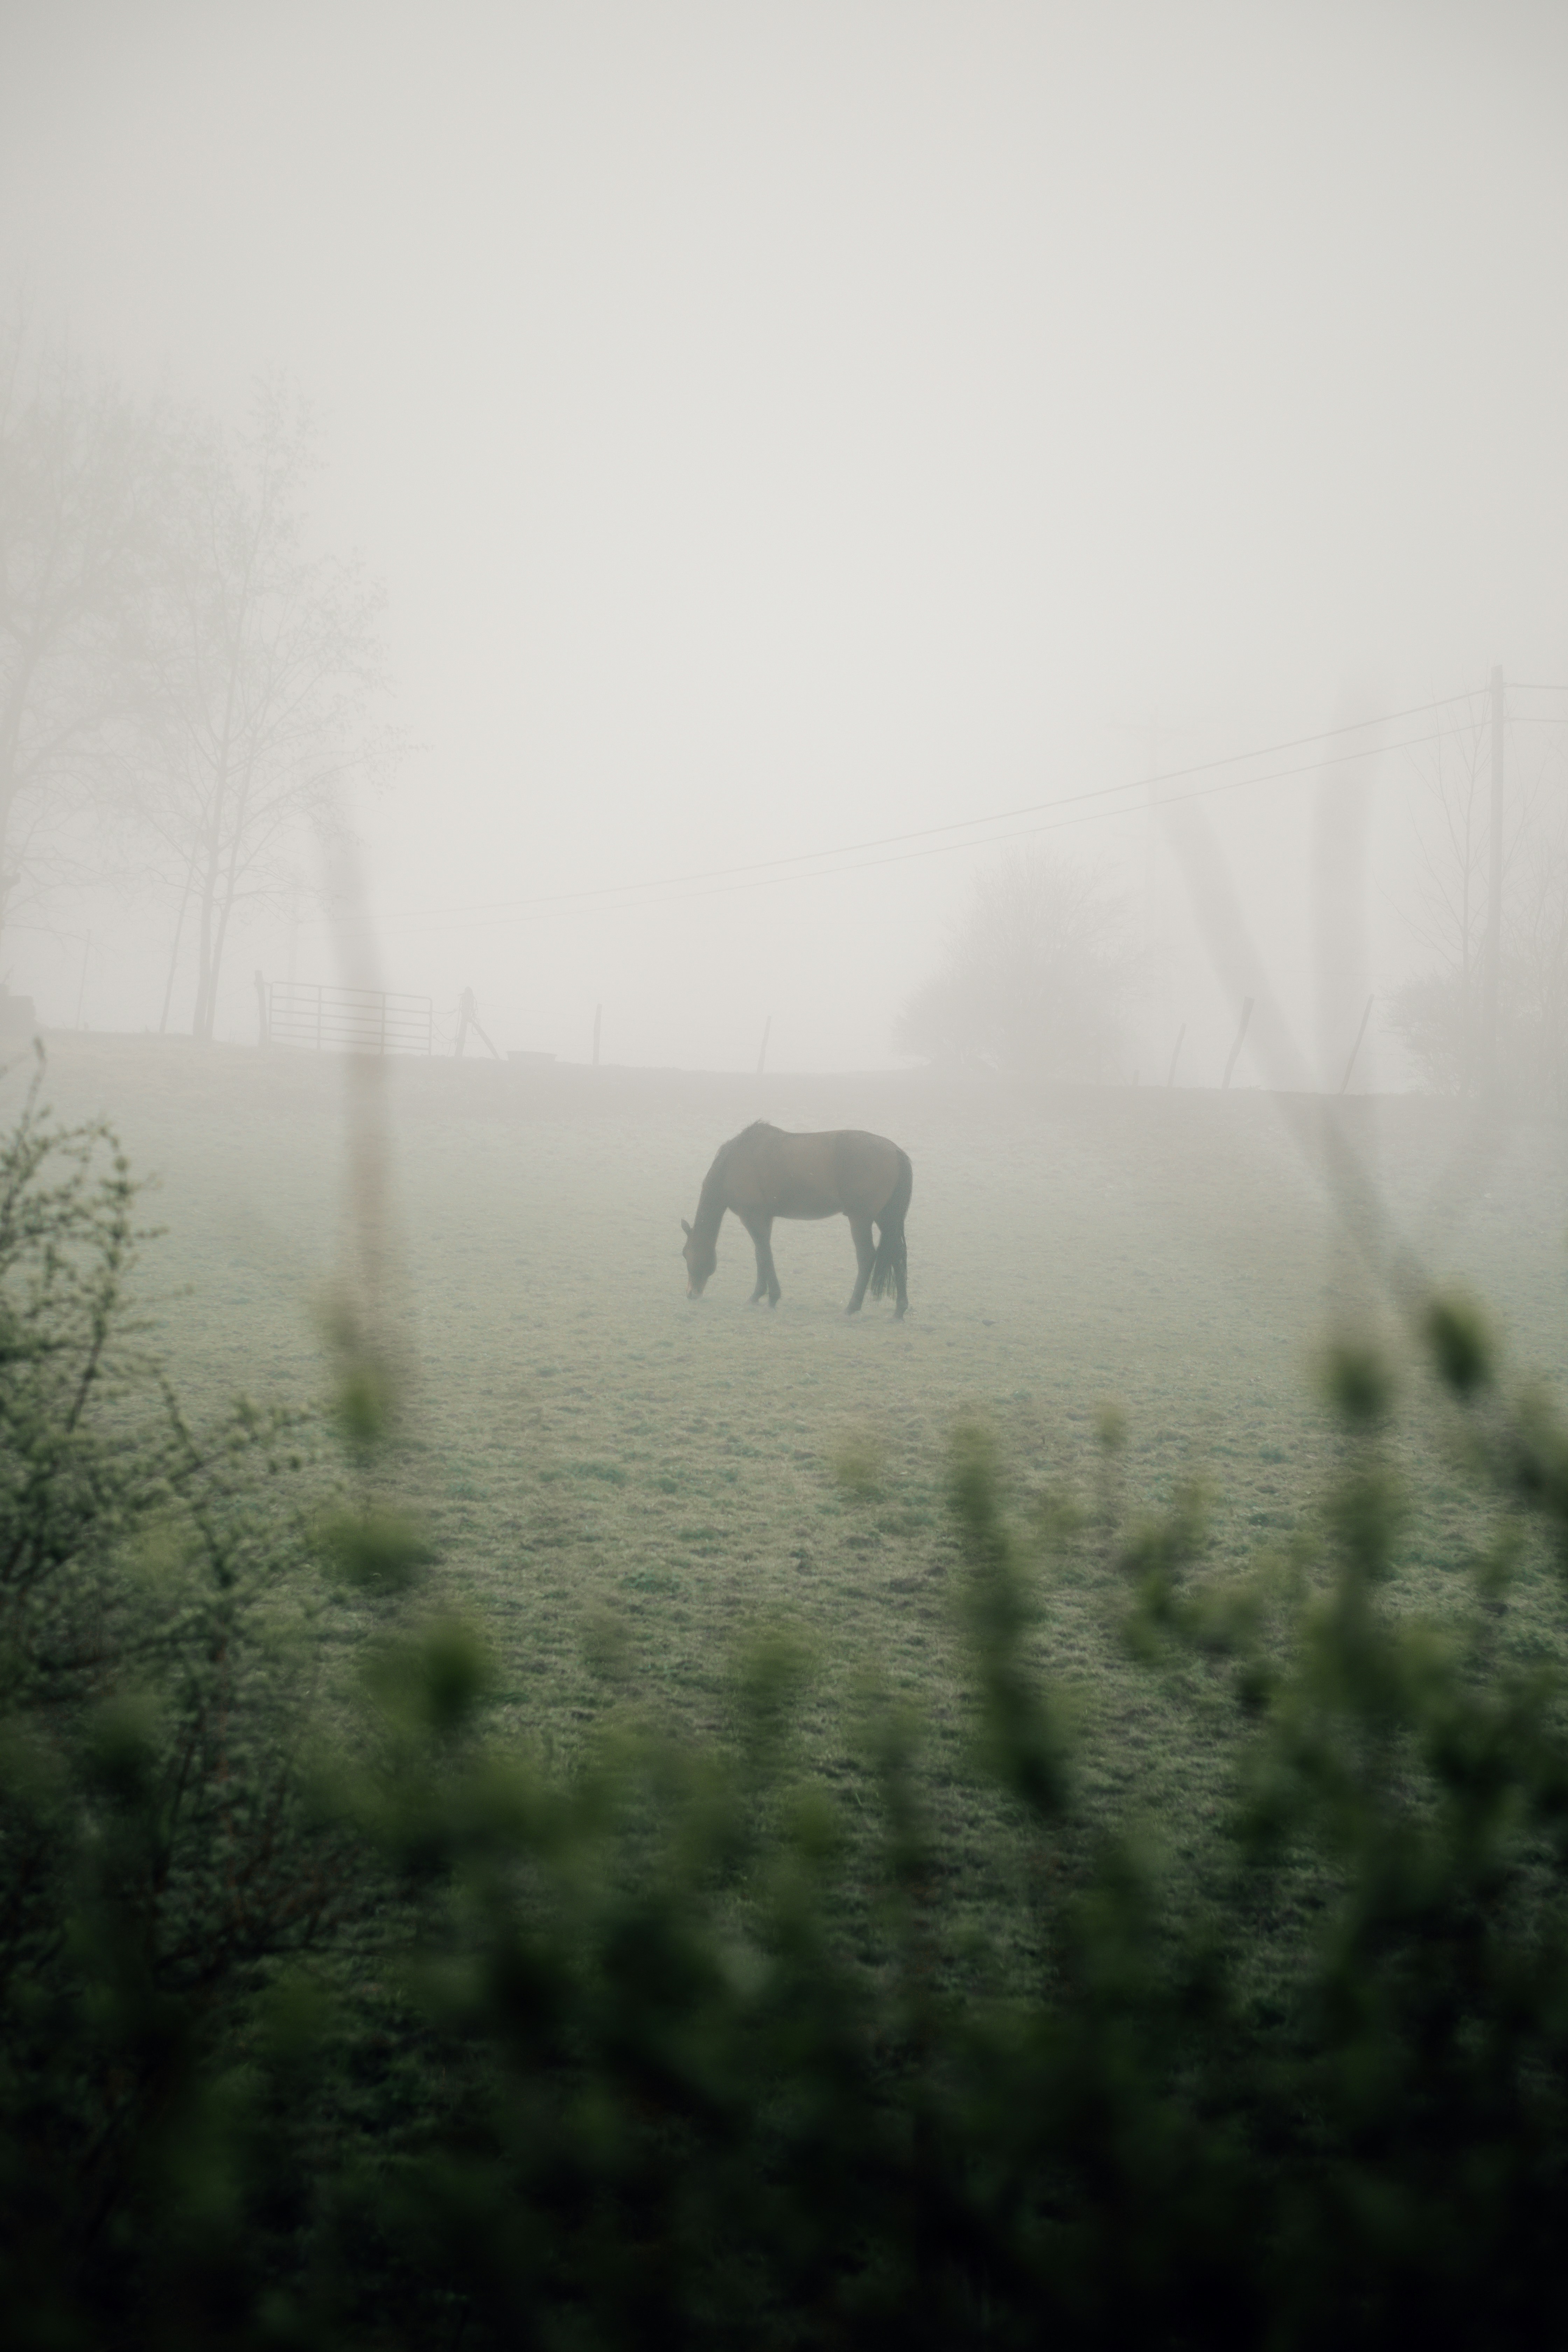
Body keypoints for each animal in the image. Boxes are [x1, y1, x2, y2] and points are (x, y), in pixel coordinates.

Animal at [681, 1121, 912, 1317]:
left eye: (685, 1254)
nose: (691, 1294)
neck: (733, 1164)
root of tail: (896, 1151)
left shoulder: (753, 1218)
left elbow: (764, 1255)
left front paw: (770, 1298)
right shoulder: (764, 1219)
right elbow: (761, 1255)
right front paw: (758, 1296)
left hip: (860, 1219)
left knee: (866, 1257)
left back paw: (852, 1307)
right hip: (886, 1219)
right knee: (898, 1255)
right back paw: (900, 1311)